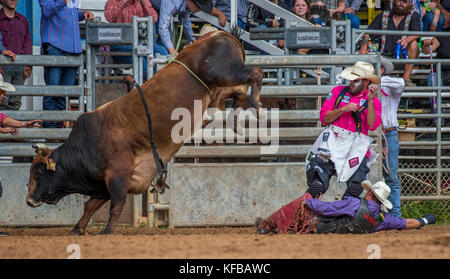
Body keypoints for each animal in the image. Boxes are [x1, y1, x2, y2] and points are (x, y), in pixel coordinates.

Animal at [25, 31, 264, 236]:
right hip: (223, 88)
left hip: (225, 72)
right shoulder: (102, 184)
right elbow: (90, 206)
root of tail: (218, 34)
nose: (28, 200)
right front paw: (77, 228)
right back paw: (242, 112)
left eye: (38, 173)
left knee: (255, 73)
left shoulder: (118, 177)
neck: (89, 143)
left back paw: (256, 104)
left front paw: (107, 230)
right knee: (239, 94)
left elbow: (115, 206)